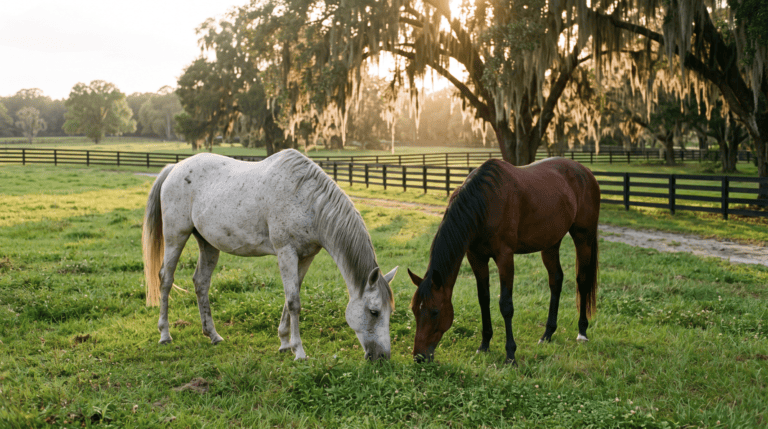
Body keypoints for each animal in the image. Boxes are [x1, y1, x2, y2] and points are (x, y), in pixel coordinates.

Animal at [142, 149, 398, 361]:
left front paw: (284, 343)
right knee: (165, 279)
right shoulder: (286, 251)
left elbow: (290, 297)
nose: (382, 357)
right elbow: (294, 302)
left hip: (208, 243)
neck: (307, 200)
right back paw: (165, 335)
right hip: (176, 236)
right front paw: (299, 352)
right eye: (374, 312)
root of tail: (175, 168)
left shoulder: (306, 257)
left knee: (201, 282)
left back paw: (213, 335)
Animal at [407, 157, 600, 365]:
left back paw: (582, 332)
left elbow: (506, 305)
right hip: (551, 243)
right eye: (414, 310)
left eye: (435, 311)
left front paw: (510, 355)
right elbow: (483, 299)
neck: (484, 203)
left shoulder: (505, 257)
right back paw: (547, 334)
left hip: (583, 237)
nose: (419, 357)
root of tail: (586, 172)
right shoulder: (476, 257)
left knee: (582, 281)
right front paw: (484, 345)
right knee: (556, 280)